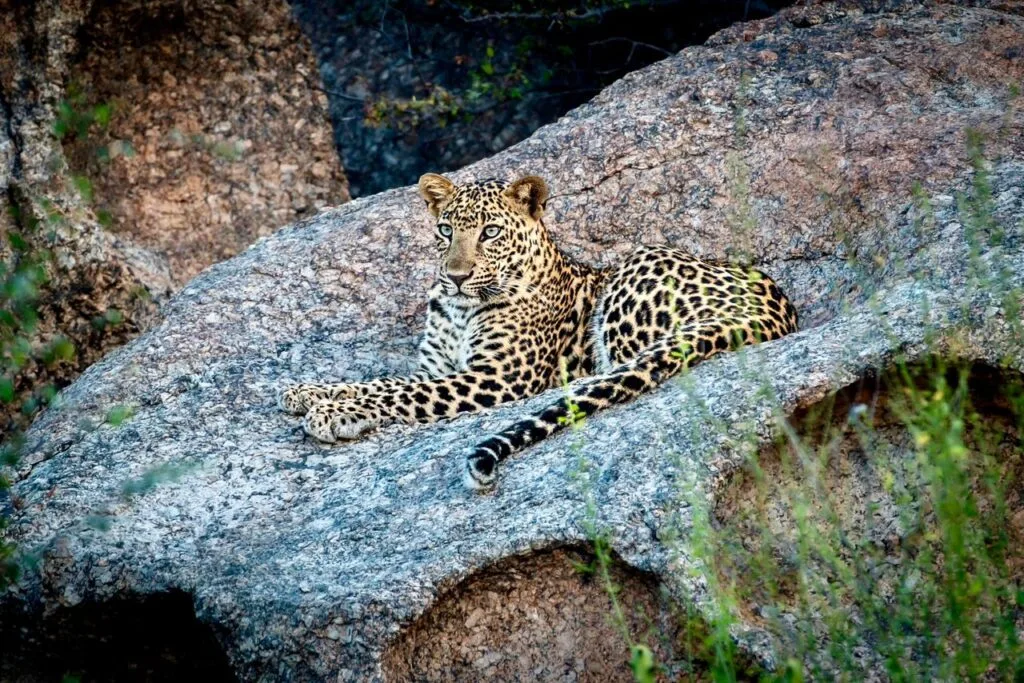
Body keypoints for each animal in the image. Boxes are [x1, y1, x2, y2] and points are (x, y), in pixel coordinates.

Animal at [279, 172, 799, 490]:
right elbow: (385, 382)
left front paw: (334, 413)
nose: (456, 275)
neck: (459, 307)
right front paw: (309, 391)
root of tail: (775, 308)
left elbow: (404, 395)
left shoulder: (495, 379)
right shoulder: (437, 367)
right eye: (446, 230)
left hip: (639, 269)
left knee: (619, 371)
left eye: (490, 232)